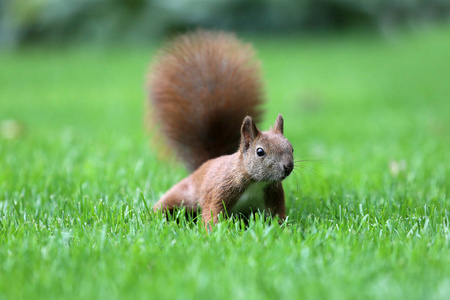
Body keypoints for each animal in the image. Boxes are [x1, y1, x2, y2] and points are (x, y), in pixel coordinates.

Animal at [148, 31, 296, 227]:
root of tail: (202, 166)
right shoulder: (220, 189)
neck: (255, 182)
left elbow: (278, 216)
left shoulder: (274, 195)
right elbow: (212, 213)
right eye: (260, 152)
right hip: (184, 194)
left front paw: (284, 229)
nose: (288, 167)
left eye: (292, 148)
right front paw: (215, 231)